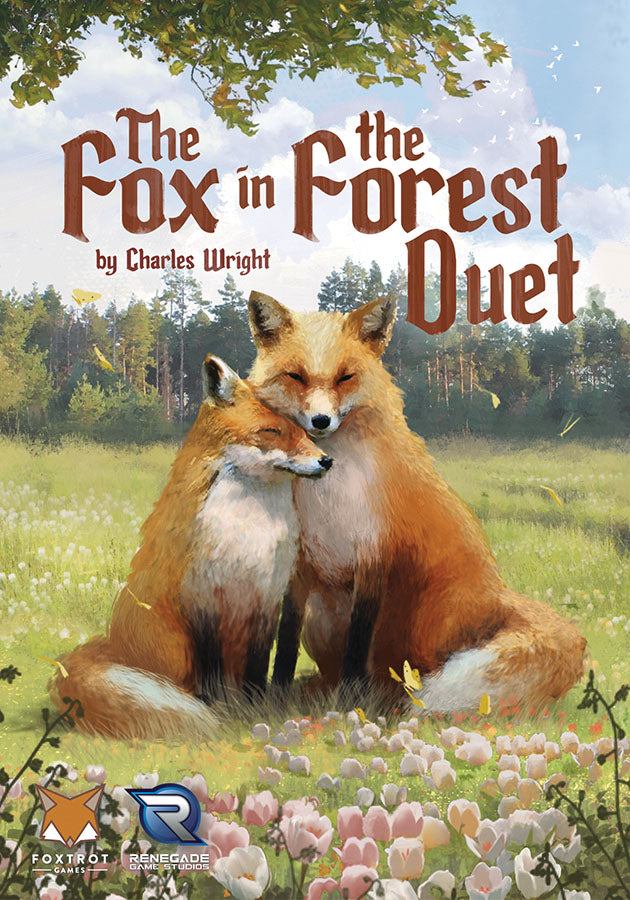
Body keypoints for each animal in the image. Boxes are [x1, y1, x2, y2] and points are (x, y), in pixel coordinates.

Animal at [50, 355, 332, 739]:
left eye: (305, 431)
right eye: (271, 432)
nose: (327, 461)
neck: (247, 531)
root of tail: (112, 644)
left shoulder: (266, 597)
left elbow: (259, 666)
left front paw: (257, 707)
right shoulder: (201, 596)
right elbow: (210, 668)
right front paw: (217, 708)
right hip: (176, 645)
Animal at [247, 291, 587, 712]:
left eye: (345, 377)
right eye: (296, 376)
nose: (321, 421)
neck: (328, 496)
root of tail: (498, 597)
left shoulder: (374, 556)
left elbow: (358, 642)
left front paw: (350, 701)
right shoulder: (300, 565)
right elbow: (286, 641)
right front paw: (274, 699)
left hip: (426, 617)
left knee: (407, 673)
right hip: (322, 615)